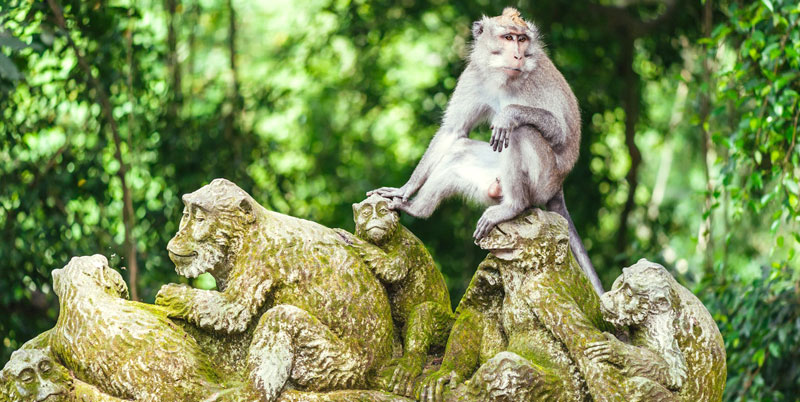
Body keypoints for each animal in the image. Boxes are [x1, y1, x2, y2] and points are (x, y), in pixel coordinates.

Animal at [366, 7, 604, 296]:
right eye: (508, 37)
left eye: (522, 39)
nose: (518, 54)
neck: (504, 77)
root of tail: (559, 187)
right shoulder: (474, 76)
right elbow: (452, 132)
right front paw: (405, 188)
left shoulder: (536, 80)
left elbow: (560, 133)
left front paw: (509, 114)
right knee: (459, 151)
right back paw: (417, 209)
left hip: (542, 182)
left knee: (521, 132)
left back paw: (513, 205)